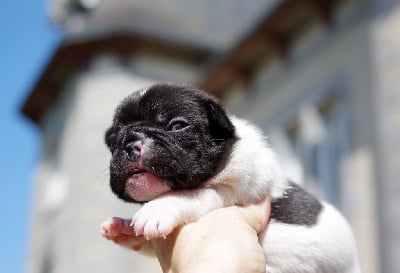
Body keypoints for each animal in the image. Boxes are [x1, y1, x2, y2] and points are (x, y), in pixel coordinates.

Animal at [101, 83, 360, 272]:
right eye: (113, 141)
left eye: (176, 126)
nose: (129, 143)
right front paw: (124, 230)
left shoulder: (238, 189)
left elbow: (193, 194)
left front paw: (157, 209)